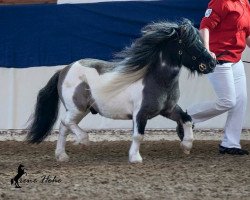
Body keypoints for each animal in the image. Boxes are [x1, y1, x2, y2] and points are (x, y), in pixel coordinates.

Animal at [26, 19, 215, 162]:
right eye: (190, 43)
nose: (212, 62)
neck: (157, 80)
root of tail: (63, 70)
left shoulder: (168, 109)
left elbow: (187, 119)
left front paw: (186, 145)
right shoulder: (140, 114)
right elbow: (138, 135)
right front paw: (135, 158)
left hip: (81, 110)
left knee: (64, 126)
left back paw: (62, 156)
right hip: (77, 108)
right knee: (66, 122)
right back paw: (83, 141)